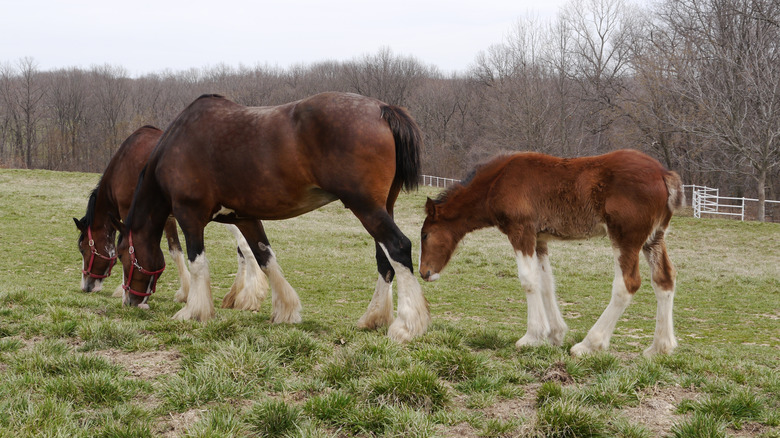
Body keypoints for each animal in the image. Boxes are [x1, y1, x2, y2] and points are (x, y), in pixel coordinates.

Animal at [74, 126, 268, 312]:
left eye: (82, 249)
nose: (86, 286)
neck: (122, 163)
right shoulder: (163, 216)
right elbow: (175, 249)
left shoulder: (129, 212)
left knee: (245, 247)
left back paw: (248, 296)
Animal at [116, 92, 432, 344]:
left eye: (121, 255)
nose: (130, 301)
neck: (177, 143)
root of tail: (383, 109)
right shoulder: (245, 218)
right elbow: (264, 257)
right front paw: (286, 310)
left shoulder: (189, 215)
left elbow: (198, 263)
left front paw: (194, 311)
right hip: (381, 207)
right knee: (385, 260)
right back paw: (373, 318)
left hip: (365, 206)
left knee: (398, 247)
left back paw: (406, 325)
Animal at [420, 150, 684, 356]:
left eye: (424, 235)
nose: (424, 272)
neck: (498, 181)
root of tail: (664, 174)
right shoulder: (540, 239)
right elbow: (546, 282)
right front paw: (555, 334)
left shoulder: (521, 231)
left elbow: (528, 280)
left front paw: (532, 337)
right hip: (654, 239)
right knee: (664, 279)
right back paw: (660, 347)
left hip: (626, 238)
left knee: (627, 284)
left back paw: (589, 344)